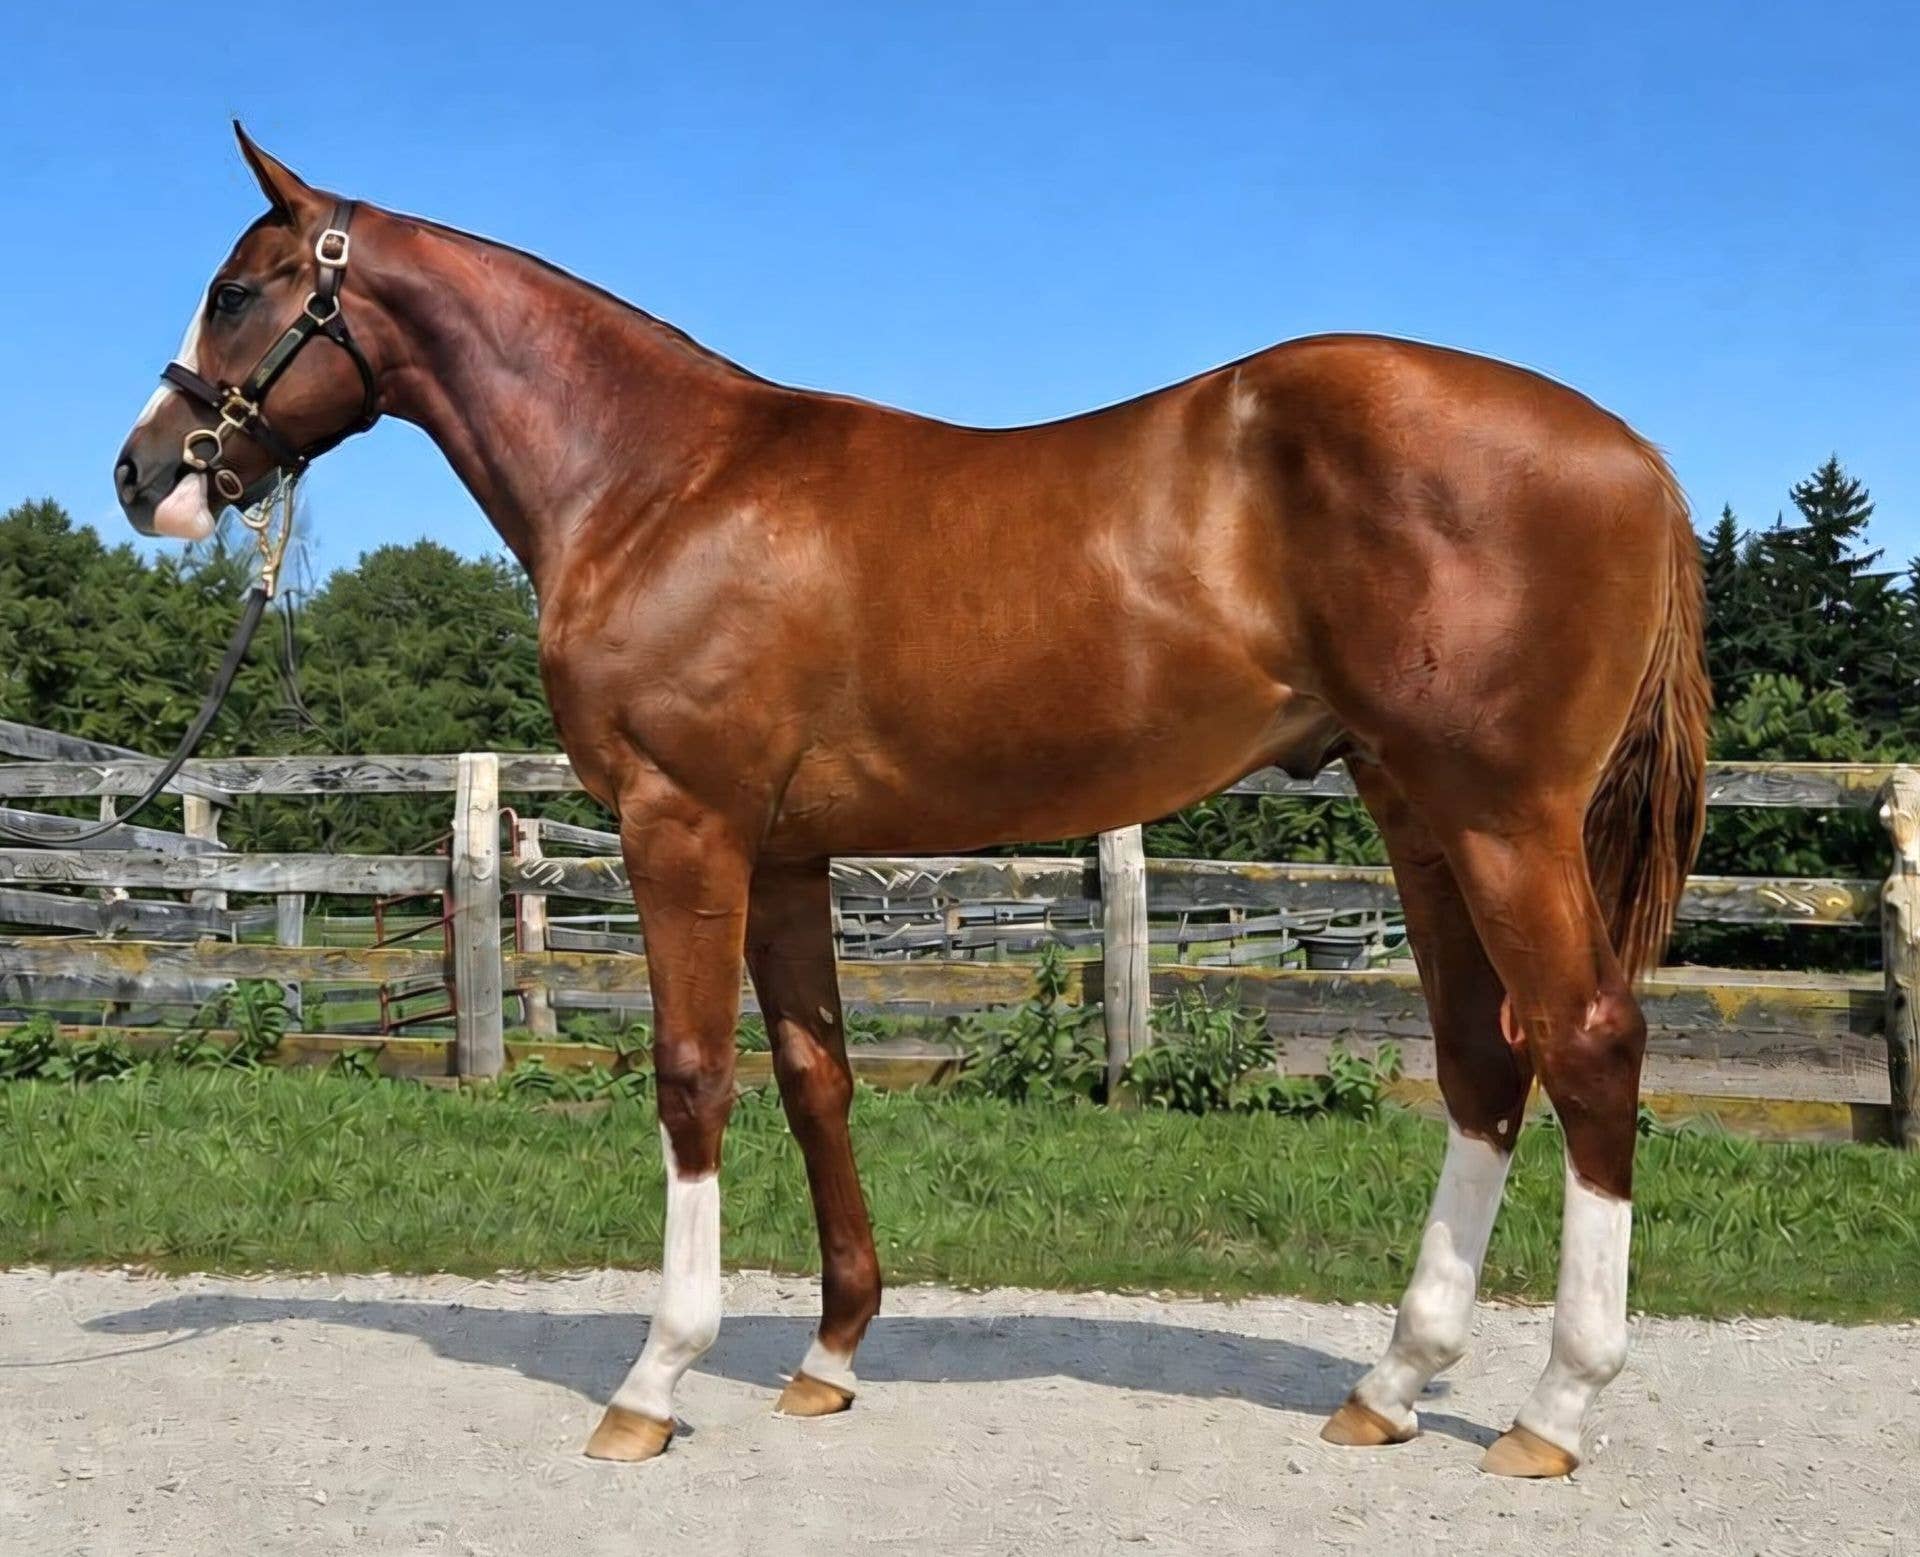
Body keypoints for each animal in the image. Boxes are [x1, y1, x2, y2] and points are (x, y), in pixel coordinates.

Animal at [114, 125, 1710, 1478]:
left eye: (238, 291)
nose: (142, 476)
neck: (659, 481)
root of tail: (1632, 452)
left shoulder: (681, 825)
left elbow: (691, 1075)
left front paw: (654, 1381)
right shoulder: (786, 855)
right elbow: (814, 1076)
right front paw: (827, 1358)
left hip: (1504, 818)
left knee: (1586, 1045)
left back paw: (1553, 1410)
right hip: (1418, 815)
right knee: (1484, 1064)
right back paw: (1391, 1384)